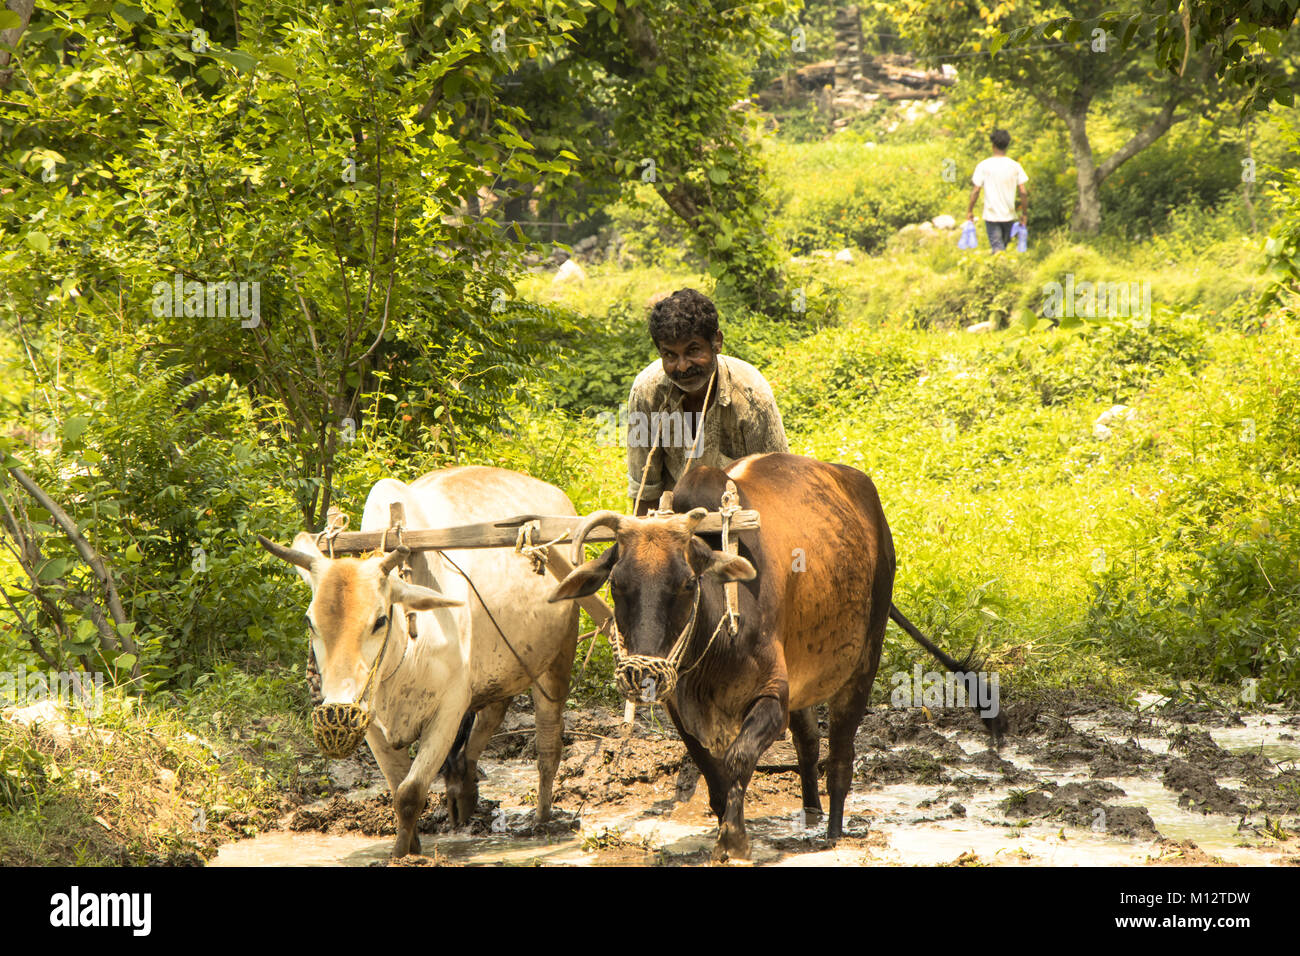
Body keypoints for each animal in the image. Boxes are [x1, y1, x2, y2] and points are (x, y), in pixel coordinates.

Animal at [258, 466, 580, 858]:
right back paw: (465, 797)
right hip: (500, 667)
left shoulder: (447, 712)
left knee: (548, 746)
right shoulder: (372, 723)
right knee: (484, 728)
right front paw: (410, 847)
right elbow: (398, 790)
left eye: (380, 620)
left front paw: (400, 856)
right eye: (310, 622)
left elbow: (410, 794)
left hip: (557, 660)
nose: (338, 711)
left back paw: (542, 819)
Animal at [549, 452, 1005, 862]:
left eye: (686, 584)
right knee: (808, 740)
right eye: (616, 584)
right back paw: (809, 813)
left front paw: (735, 841)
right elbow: (714, 773)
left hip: (863, 661)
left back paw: (832, 830)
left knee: (840, 753)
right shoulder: (682, 708)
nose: (642, 676)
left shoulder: (772, 698)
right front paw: (725, 827)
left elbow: (738, 759)